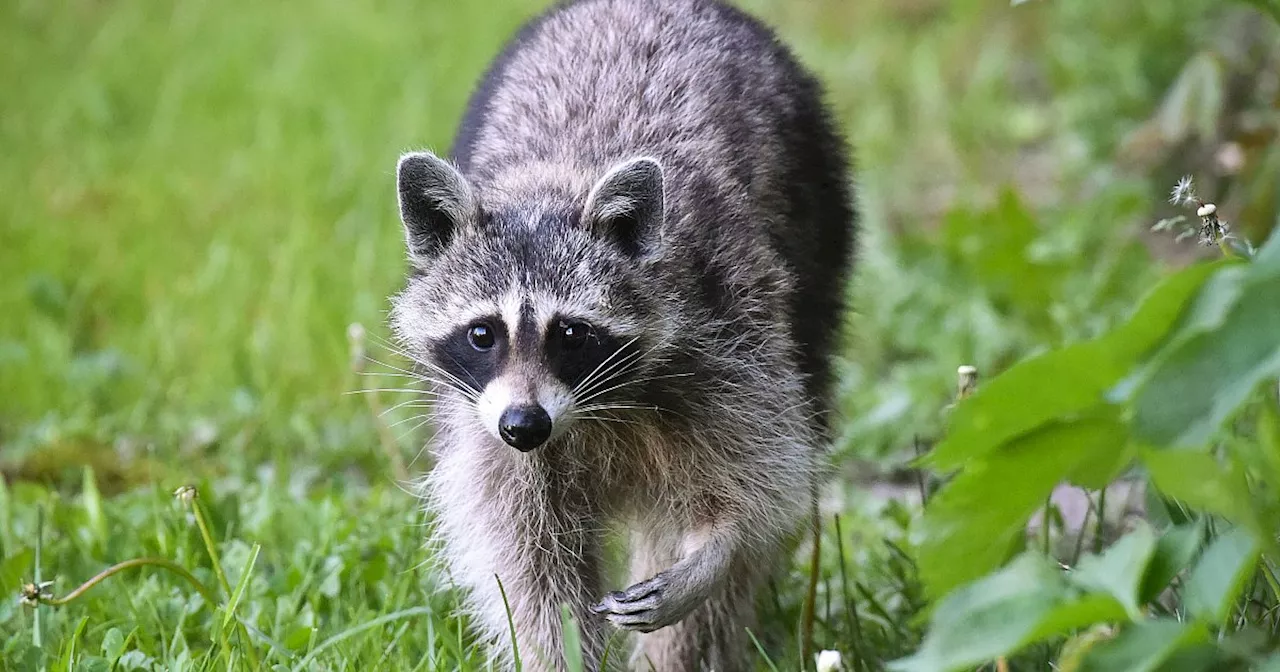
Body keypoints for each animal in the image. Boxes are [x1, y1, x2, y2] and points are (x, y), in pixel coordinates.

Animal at [384, 0, 855, 665]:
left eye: (571, 333)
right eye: (482, 334)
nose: (524, 425)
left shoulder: (732, 328)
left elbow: (762, 478)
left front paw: (719, 545)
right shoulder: (486, 430)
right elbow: (531, 567)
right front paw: (559, 653)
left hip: (818, 222)